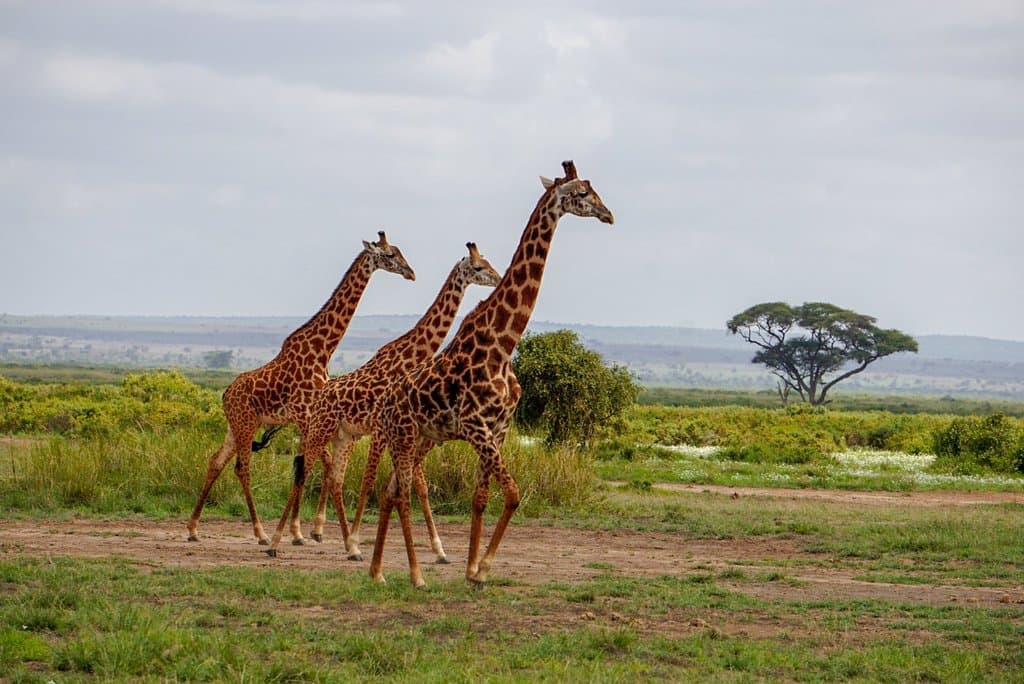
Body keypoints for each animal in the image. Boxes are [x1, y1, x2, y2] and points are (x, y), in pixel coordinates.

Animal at [184, 231, 411, 544]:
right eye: (389, 255)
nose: (411, 273)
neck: (322, 349)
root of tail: (225, 393)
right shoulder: (305, 415)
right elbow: (320, 464)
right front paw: (310, 530)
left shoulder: (311, 418)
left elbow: (309, 463)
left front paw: (301, 530)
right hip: (246, 424)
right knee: (242, 468)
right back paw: (260, 532)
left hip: (235, 425)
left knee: (215, 462)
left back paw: (194, 528)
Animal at [264, 240, 499, 557]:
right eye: (478, 266)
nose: (498, 278)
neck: (411, 355)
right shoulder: (380, 430)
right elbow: (370, 481)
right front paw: (358, 540)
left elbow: (417, 485)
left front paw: (439, 550)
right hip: (321, 431)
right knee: (306, 470)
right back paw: (286, 539)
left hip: (341, 435)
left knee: (328, 473)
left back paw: (312, 534)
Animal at [368, 161, 610, 589]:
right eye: (582, 193)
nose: (609, 214)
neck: (503, 345)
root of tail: (386, 403)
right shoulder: (476, 427)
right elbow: (512, 493)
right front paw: (483, 568)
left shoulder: (498, 430)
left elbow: (482, 498)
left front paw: (472, 569)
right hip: (403, 436)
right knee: (401, 494)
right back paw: (414, 575)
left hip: (419, 439)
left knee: (389, 490)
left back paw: (377, 571)